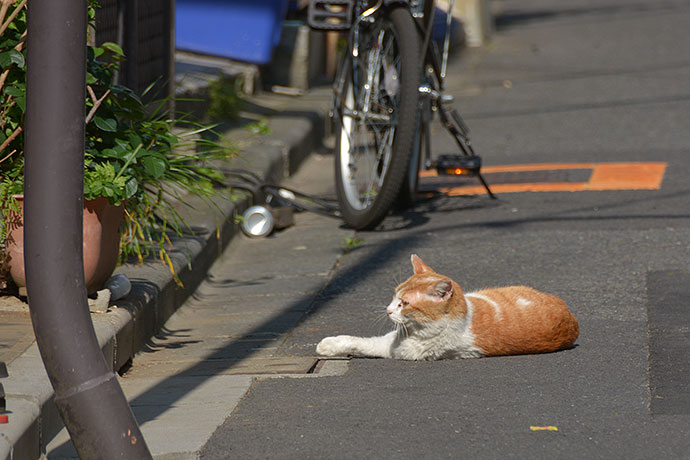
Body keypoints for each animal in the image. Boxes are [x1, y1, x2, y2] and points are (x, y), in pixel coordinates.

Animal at [316, 255, 576, 360]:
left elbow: (358, 341)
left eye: (405, 303)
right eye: (394, 296)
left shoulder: (394, 348)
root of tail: (572, 319)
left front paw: (327, 345)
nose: (388, 310)